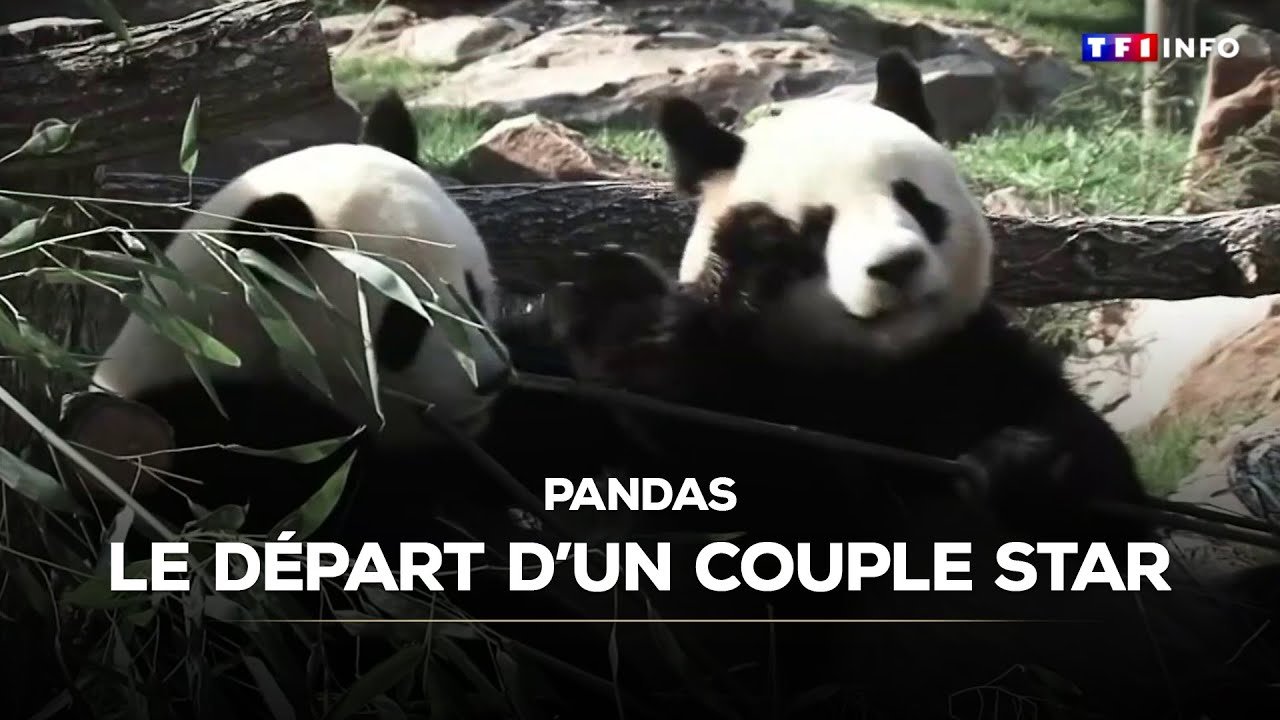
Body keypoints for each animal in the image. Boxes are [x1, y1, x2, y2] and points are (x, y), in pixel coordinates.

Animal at [542, 50, 1280, 719]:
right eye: (812, 230)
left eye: (915, 203)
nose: (895, 266)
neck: (877, 370)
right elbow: (754, 533)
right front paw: (626, 306)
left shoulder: (973, 361)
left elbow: (1108, 509)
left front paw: (1027, 465)